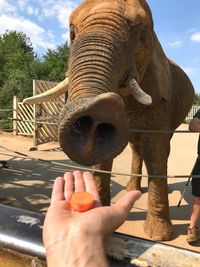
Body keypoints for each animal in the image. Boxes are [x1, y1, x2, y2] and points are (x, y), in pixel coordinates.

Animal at [23, 0, 194, 242]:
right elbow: (104, 157)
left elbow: (156, 151)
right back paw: (132, 190)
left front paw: (159, 236)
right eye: (72, 34)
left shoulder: (162, 96)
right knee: (136, 147)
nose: (100, 107)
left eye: (142, 37)